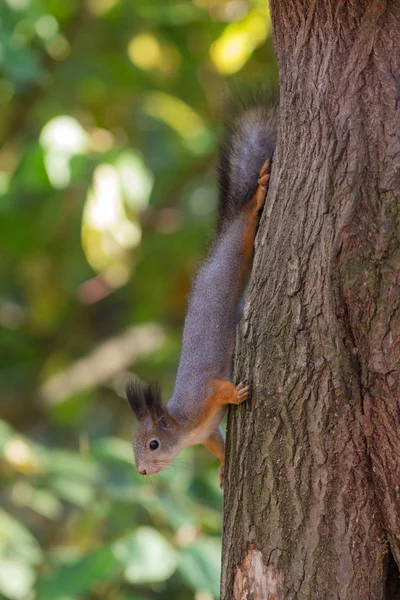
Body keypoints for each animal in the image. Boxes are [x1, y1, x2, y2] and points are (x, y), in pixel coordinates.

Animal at [126, 101, 276, 490]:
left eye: (153, 443)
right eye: (135, 446)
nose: (141, 471)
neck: (184, 426)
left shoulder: (203, 396)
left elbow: (219, 388)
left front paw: (238, 394)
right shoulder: (207, 433)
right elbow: (219, 445)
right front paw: (223, 468)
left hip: (237, 249)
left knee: (245, 220)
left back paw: (257, 195)